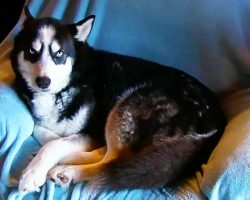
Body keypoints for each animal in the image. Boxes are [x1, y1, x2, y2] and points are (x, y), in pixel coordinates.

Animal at [11, 7, 226, 197]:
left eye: (59, 54)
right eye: (31, 51)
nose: (43, 82)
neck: (66, 85)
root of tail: (217, 121)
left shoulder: (93, 131)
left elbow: (53, 145)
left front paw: (32, 173)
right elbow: (42, 131)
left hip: (129, 103)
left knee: (111, 160)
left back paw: (68, 171)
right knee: (114, 156)